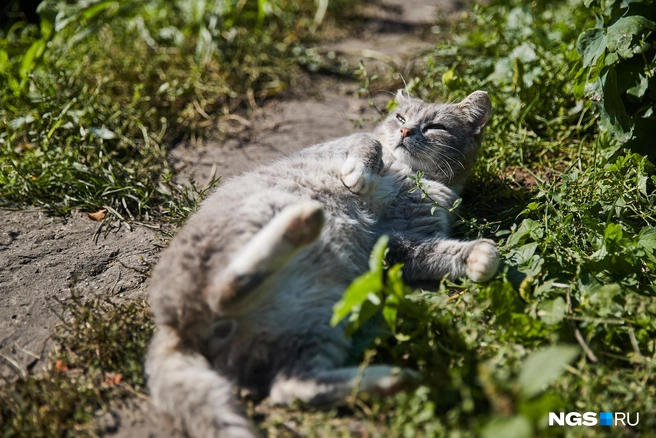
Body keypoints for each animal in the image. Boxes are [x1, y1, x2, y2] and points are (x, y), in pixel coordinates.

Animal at [147, 90, 498, 438]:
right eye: (400, 117)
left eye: (435, 126)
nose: (405, 130)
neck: (413, 175)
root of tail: (171, 326)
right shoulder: (345, 150)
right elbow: (366, 142)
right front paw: (360, 175)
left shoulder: (401, 244)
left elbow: (440, 253)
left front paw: (481, 257)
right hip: (264, 210)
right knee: (225, 290)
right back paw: (303, 223)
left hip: (321, 317)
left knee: (292, 386)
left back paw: (391, 379)